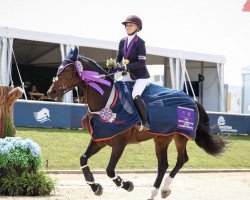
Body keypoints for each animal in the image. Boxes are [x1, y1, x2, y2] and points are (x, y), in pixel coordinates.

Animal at [47, 47, 227, 200]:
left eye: (67, 70)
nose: (51, 92)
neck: (107, 101)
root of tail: (192, 100)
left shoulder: (120, 141)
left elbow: (110, 169)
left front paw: (126, 185)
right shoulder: (100, 139)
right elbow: (83, 159)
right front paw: (95, 186)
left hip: (180, 136)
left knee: (181, 159)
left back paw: (164, 188)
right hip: (162, 139)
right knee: (163, 165)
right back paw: (154, 193)